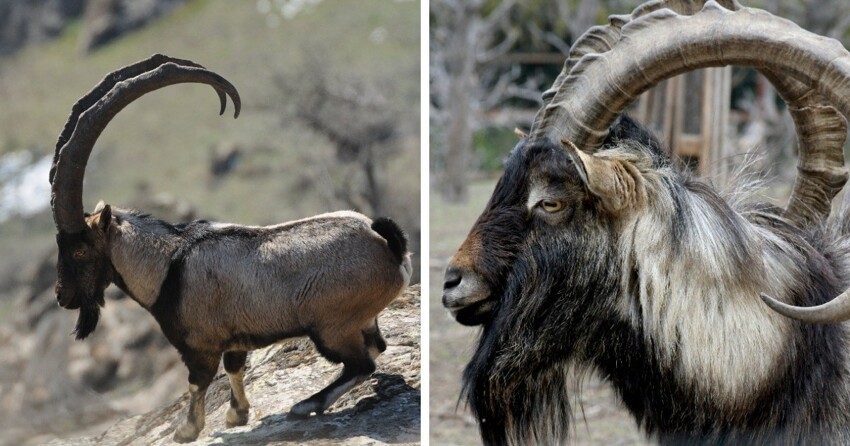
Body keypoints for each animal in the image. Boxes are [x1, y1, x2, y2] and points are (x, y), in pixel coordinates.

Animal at [51, 55, 412, 442]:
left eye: (79, 251)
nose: (62, 296)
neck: (167, 264)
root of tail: (387, 244)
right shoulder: (236, 338)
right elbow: (234, 367)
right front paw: (237, 415)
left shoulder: (199, 344)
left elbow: (198, 381)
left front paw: (187, 430)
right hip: (360, 321)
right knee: (376, 349)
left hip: (332, 327)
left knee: (362, 363)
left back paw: (306, 405)